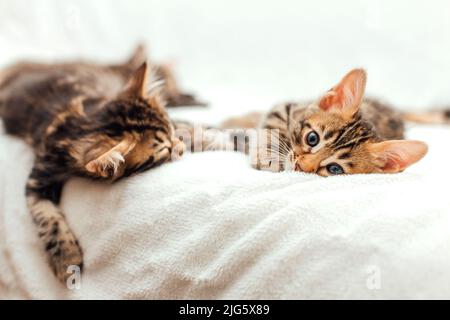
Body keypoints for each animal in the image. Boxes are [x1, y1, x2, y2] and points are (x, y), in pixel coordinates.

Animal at [0, 47, 200, 282]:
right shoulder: (39, 176)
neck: (80, 125)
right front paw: (66, 257)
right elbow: (47, 217)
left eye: (170, 131)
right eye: (165, 153)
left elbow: (194, 127)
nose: (180, 149)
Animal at [221, 68, 442, 176]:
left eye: (335, 169)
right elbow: (273, 125)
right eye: (312, 138)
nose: (300, 168)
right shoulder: (287, 107)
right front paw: (267, 154)